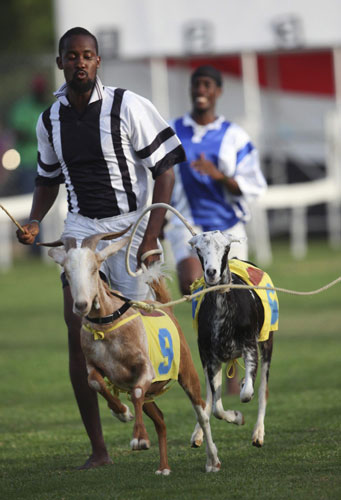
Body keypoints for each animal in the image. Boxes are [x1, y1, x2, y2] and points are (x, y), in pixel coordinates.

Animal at [189, 230, 274, 450]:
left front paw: (245, 388)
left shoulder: (250, 346)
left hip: (267, 341)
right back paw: (198, 434)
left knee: (263, 390)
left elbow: (247, 393)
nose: (211, 272)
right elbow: (217, 407)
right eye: (198, 248)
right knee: (209, 397)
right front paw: (237, 417)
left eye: (226, 247)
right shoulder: (210, 356)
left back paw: (258, 434)